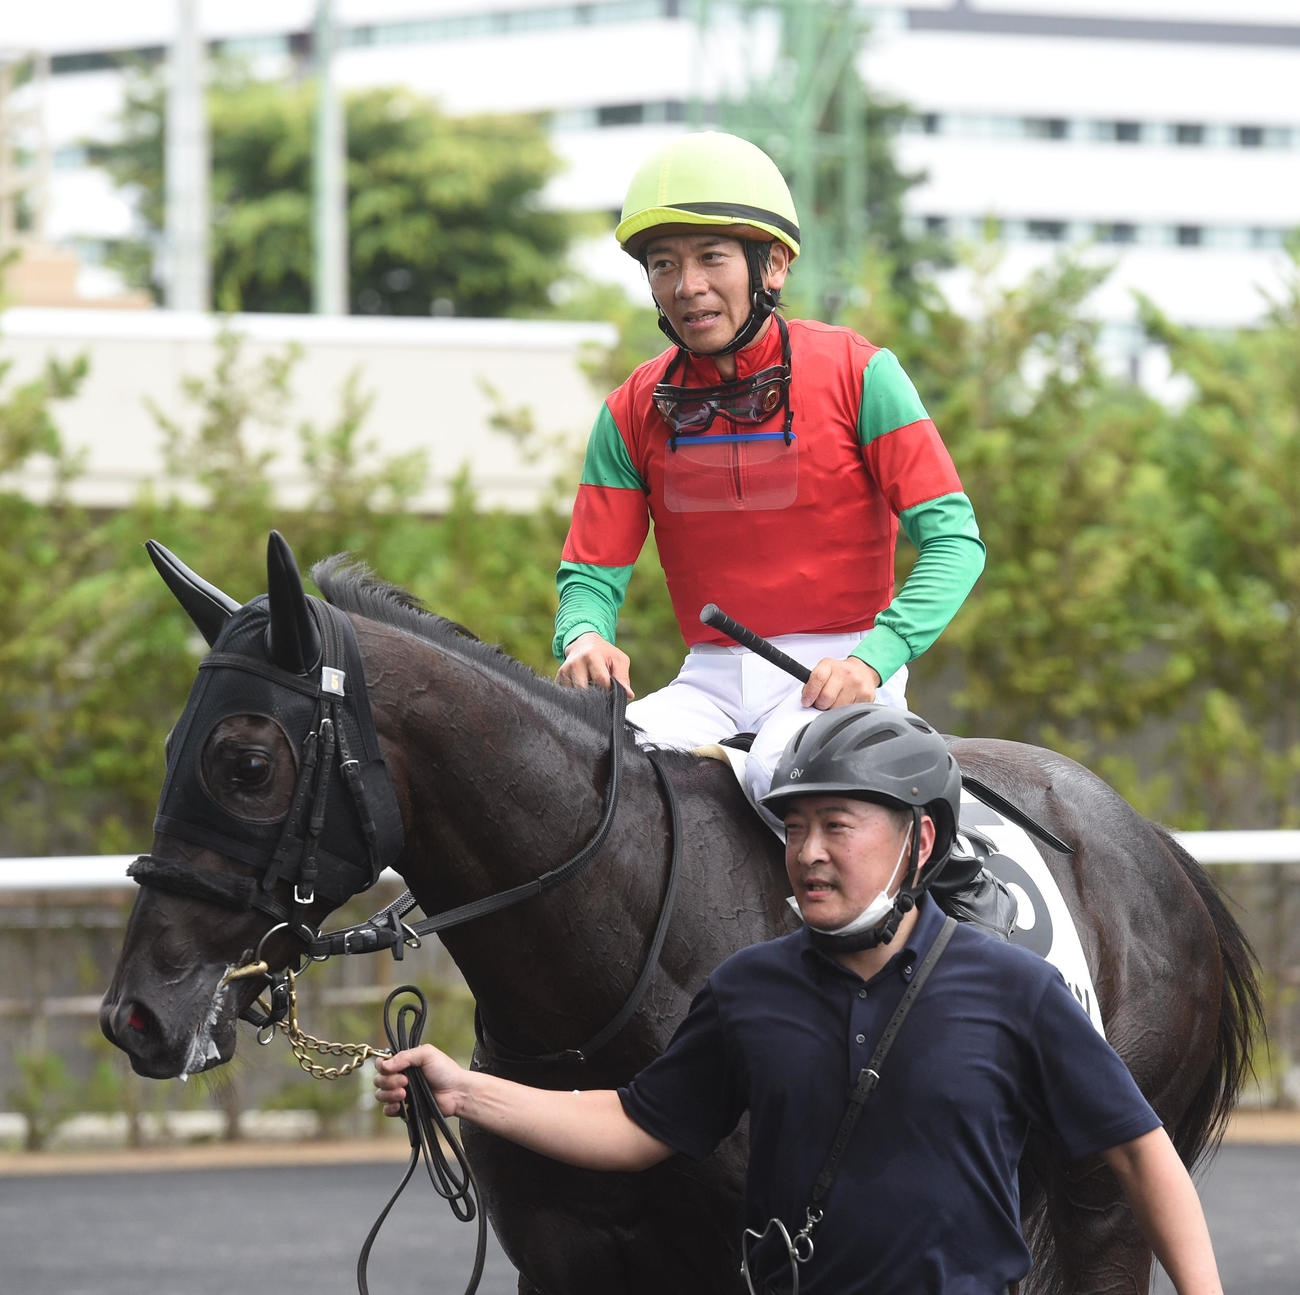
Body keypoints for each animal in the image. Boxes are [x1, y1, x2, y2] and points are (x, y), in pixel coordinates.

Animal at [101, 532, 1261, 1295]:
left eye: (245, 761)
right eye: (171, 747)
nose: (136, 1014)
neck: (616, 976)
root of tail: (1148, 839)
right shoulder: (567, 1262)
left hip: (1102, 1195)